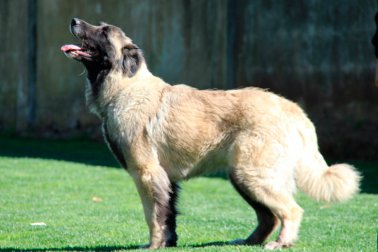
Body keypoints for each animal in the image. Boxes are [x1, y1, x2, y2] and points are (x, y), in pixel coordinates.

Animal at [61, 18, 360, 249]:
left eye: (103, 32)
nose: (74, 20)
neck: (126, 87)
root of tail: (292, 109)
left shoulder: (146, 173)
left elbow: (154, 216)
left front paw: (154, 246)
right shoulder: (166, 179)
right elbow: (168, 216)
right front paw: (168, 243)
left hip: (251, 174)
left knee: (290, 210)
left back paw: (281, 243)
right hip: (242, 176)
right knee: (269, 217)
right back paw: (249, 242)